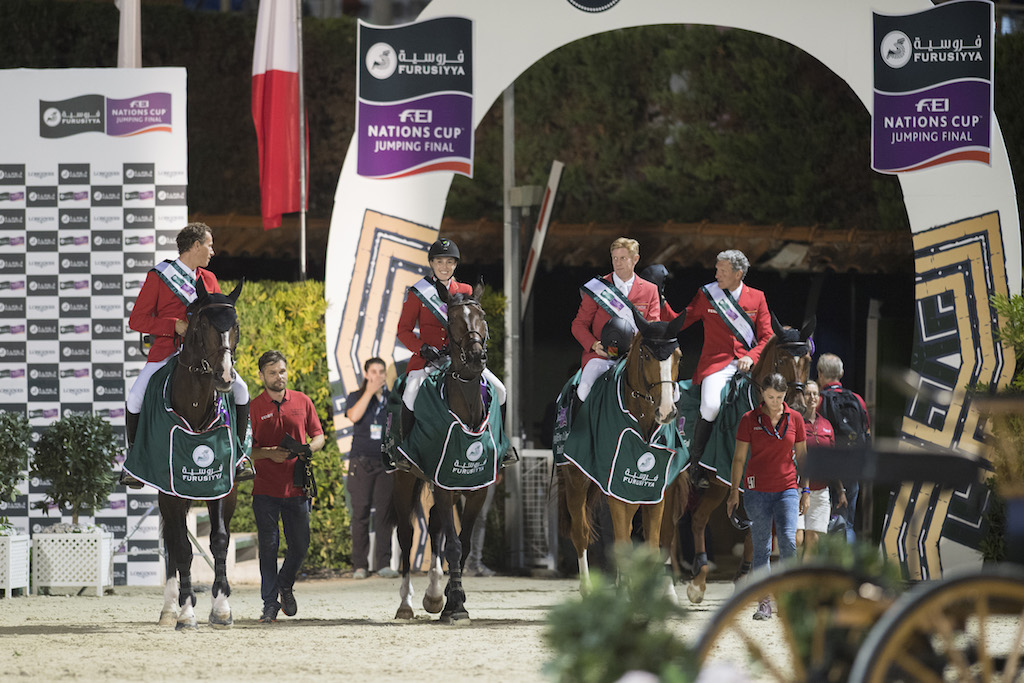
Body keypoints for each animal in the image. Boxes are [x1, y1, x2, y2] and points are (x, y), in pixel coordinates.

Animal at [389, 288, 501, 626]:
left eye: (482, 317)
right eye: (451, 321)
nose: (476, 358)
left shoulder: (475, 489)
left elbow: (462, 545)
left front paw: (452, 599)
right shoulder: (442, 484)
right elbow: (452, 544)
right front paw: (457, 606)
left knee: (435, 525)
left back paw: (435, 595)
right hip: (405, 479)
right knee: (408, 534)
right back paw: (406, 603)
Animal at [561, 313, 688, 593]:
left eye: (679, 355)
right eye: (647, 356)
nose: (666, 411)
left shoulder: (654, 490)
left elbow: (651, 545)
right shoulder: (616, 486)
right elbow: (620, 541)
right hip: (576, 480)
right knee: (581, 533)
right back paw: (588, 588)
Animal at [679, 315, 815, 602]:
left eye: (807, 360)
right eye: (781, 360)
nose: (798, 406)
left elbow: (756, 534)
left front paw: (745, 576)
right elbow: (756, 530)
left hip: (717, 486)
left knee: (698, 519)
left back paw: (699, 577)